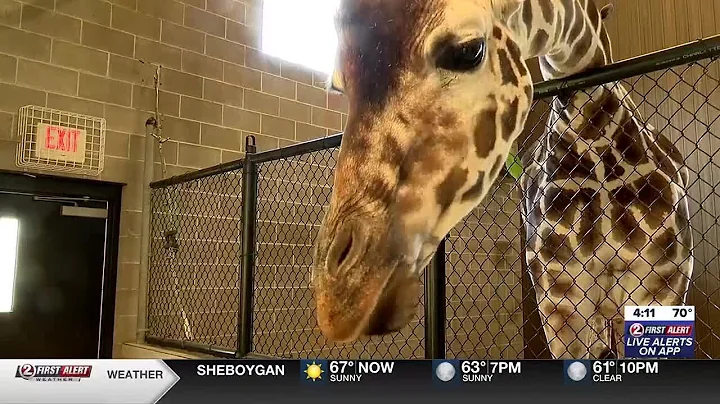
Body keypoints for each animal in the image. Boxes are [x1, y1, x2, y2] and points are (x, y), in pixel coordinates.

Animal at [310, 0, 694, 357]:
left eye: (467, 50)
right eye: (338, 86)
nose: (338, 300)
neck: (595, 138)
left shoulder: (663, 282)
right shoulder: (558, 296)